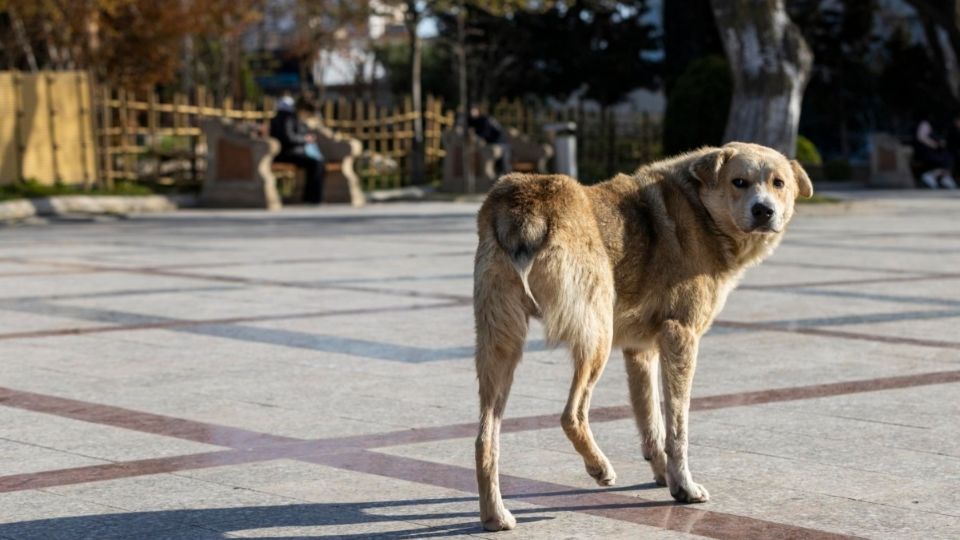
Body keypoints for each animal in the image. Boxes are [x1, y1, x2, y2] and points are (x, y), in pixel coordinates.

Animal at [470, 141, 808, 528]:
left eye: (779, 183)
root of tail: (527, 203)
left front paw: (665, 478)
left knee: (484, 439)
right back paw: (599, 468)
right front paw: (684, 487)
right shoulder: (680, 337)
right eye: (740, 182)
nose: (764, 210)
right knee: (571, 415)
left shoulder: (640, 350)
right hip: (597, 336)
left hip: (500, 346)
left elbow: (651, 424)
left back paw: (495, 515)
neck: (700, 209)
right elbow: (677, 427)